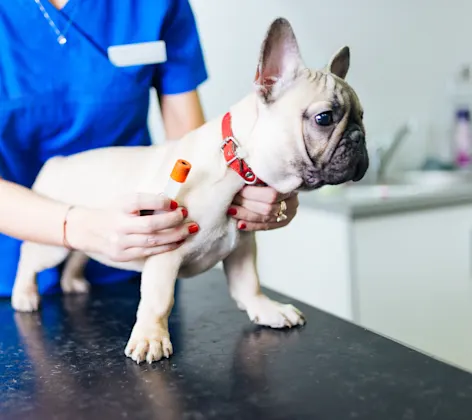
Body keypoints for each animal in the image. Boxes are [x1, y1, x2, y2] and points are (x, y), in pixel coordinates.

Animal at [9, 18, 366, 362]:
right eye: (324, 118)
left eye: (363, 116)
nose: (359, 137)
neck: (236, 161)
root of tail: (57, 161)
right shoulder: (164, 251)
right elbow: (158, 300)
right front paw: (150, 338)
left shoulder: (242, 247)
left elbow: (249, 284)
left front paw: (267, 310)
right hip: (52, 245)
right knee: (30, 258)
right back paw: (24, 295)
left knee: (78, 254)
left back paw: (72, 282)